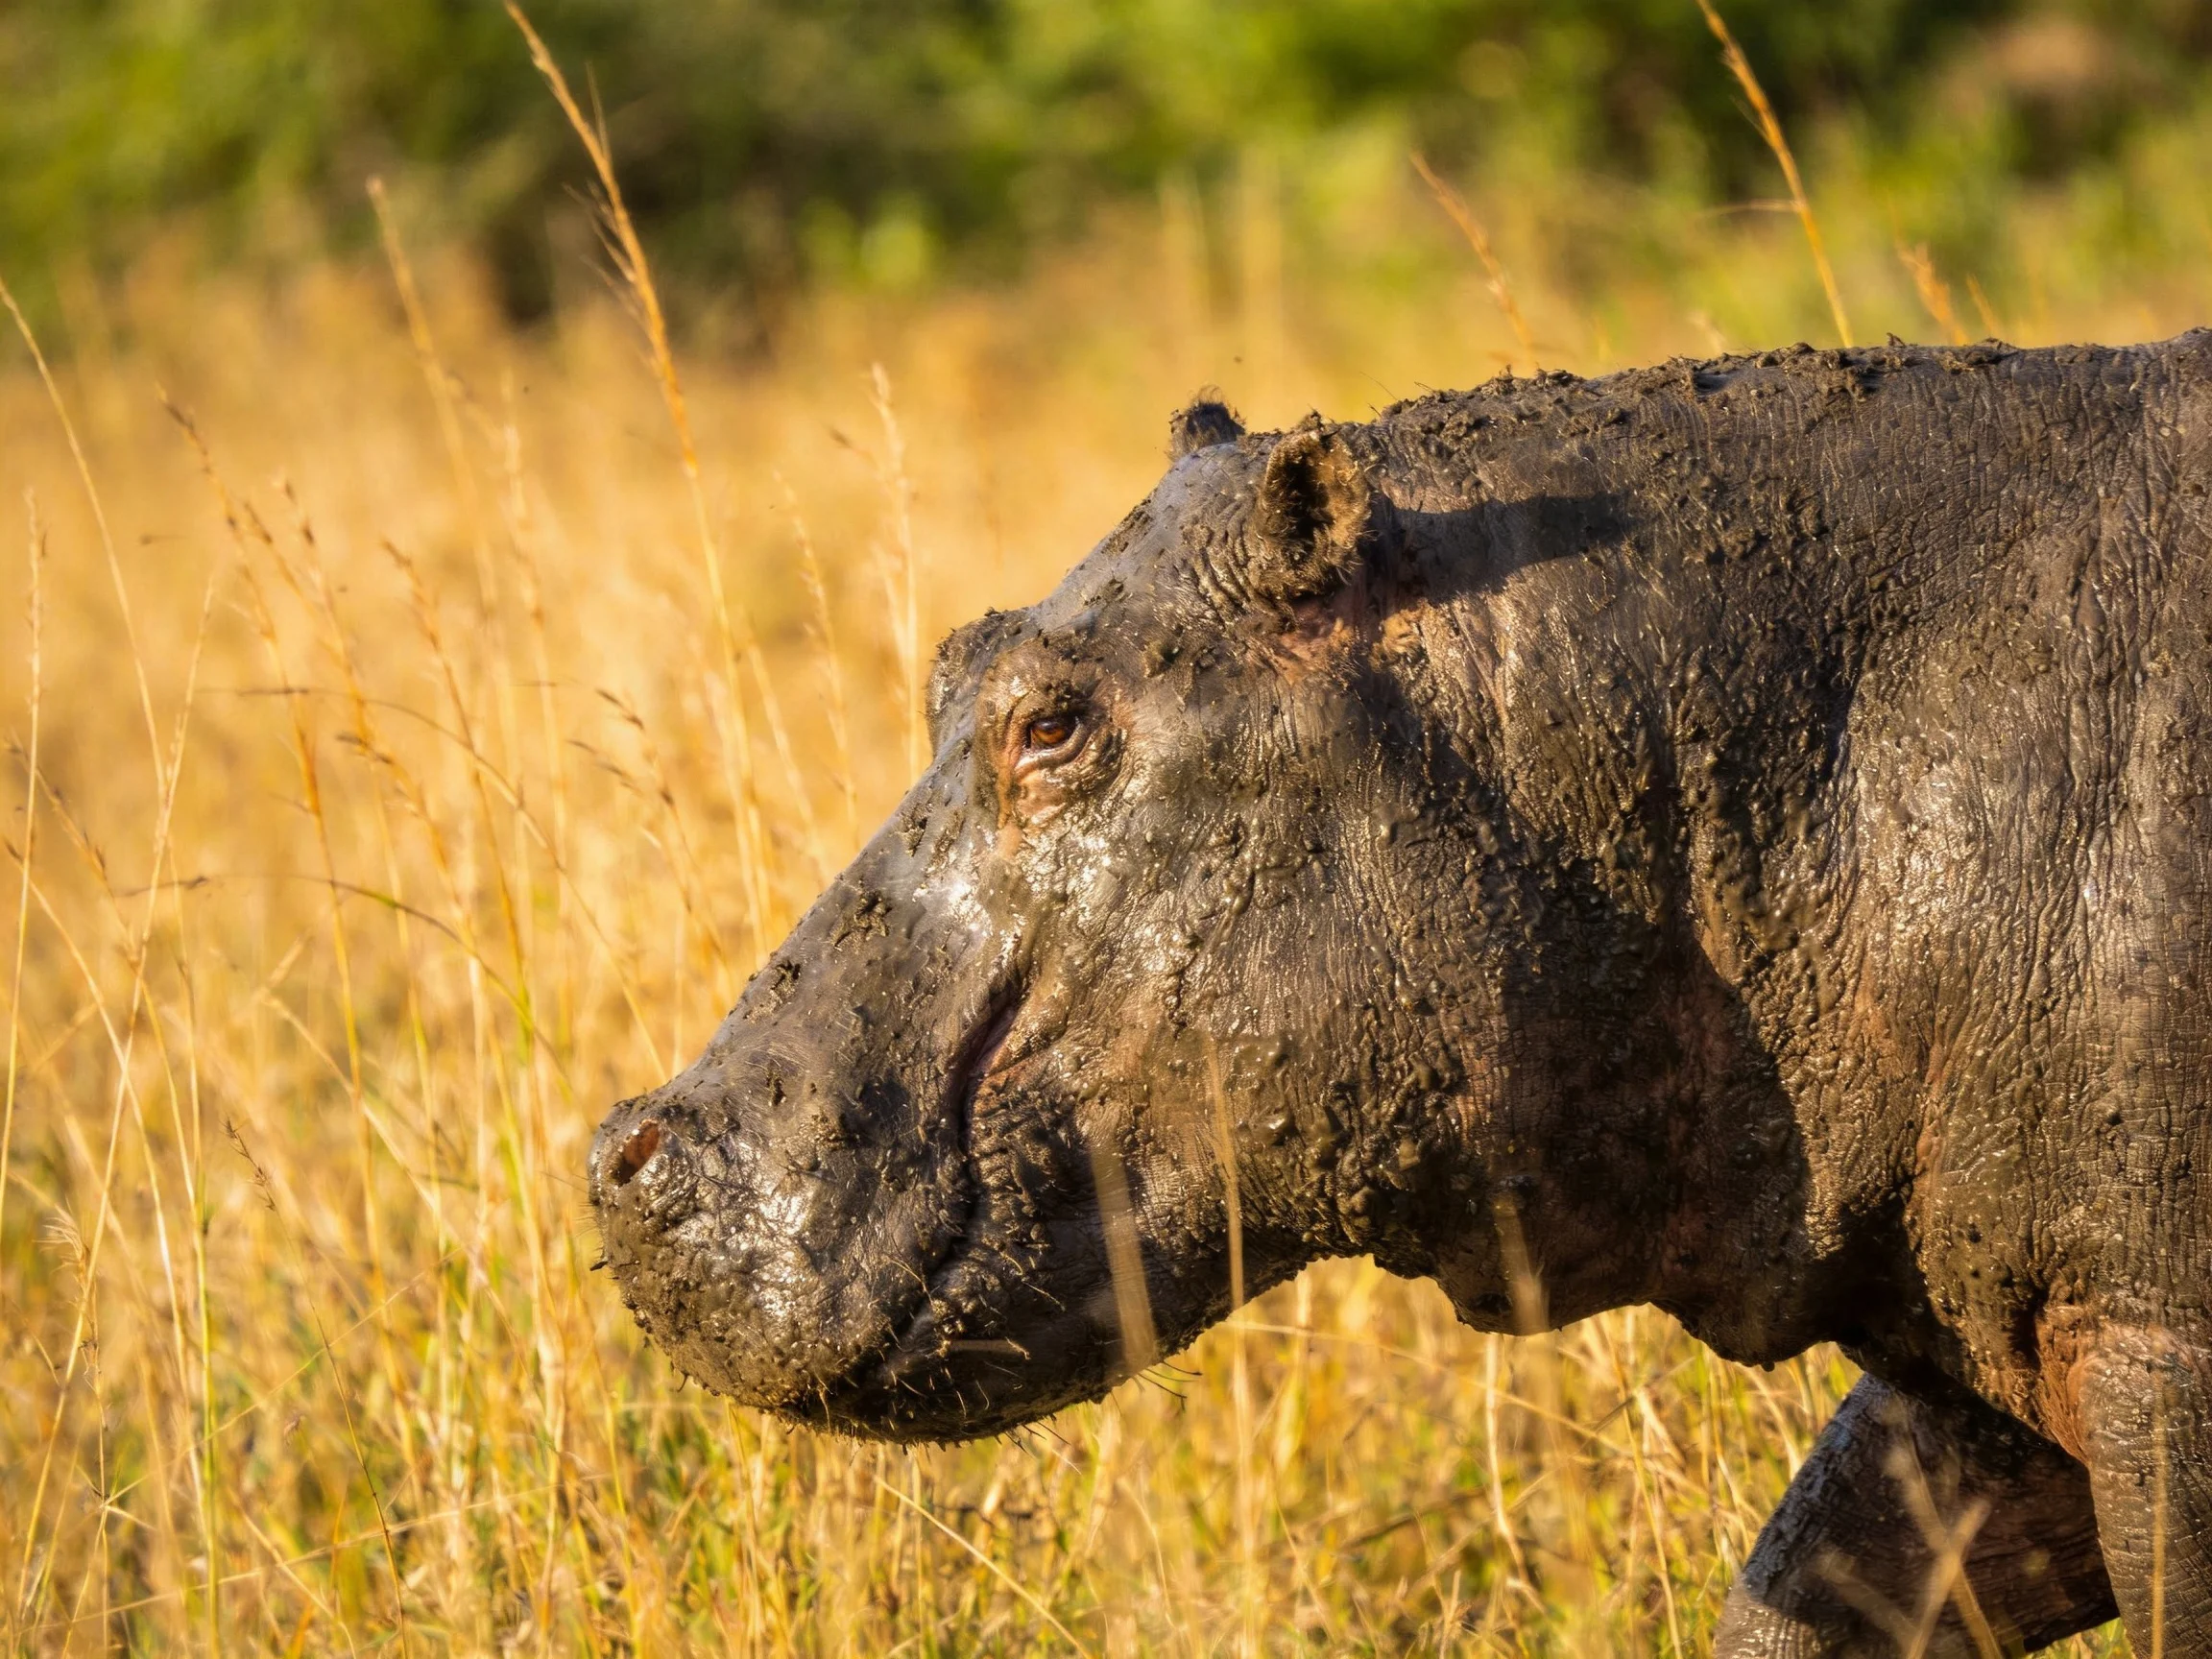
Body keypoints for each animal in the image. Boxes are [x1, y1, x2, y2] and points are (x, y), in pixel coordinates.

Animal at [590, 334, 2212, 1654]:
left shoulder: (2156, 1350)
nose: (623, 1146)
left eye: (1049, 722)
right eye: (951, 655)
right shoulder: (1982, 1338)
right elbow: (1807, 1587)